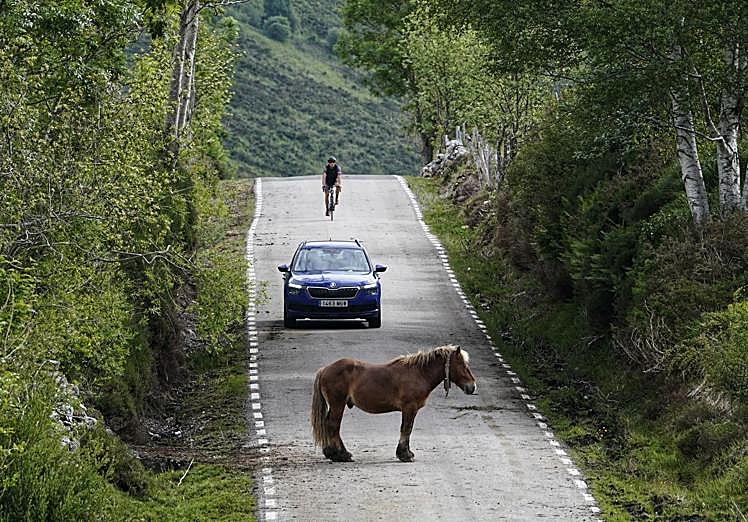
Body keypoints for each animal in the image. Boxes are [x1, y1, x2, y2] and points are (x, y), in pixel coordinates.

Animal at [310, 344, 477, 462]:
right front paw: (405, 454)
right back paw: (341, 455)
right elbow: (406, 429)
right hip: (337, 404)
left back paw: (331, 453)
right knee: (333, 426)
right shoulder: (409, 408)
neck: (419, 373)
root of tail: (324, 369)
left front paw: (406, 453)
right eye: (462, 365)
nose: (472, 386)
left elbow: (407, 429)